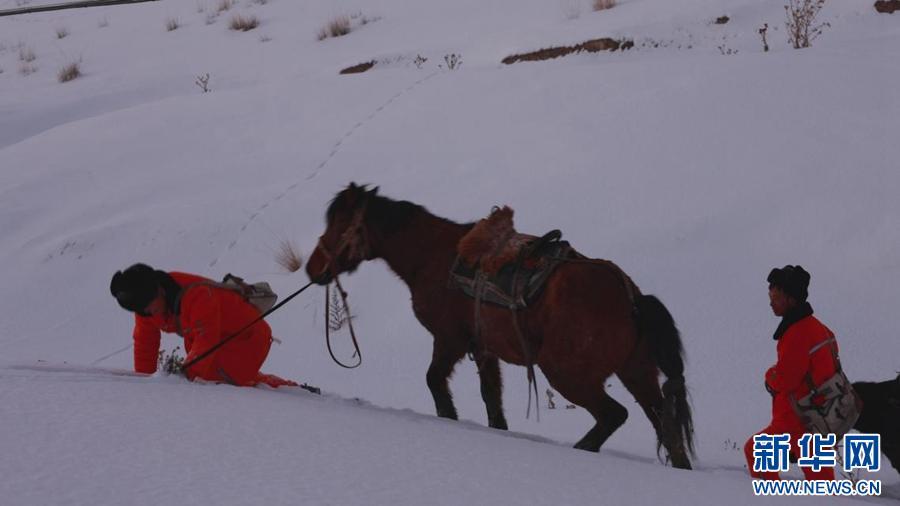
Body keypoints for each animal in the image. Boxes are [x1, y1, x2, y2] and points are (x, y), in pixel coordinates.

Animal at [306, 183, 695, 469]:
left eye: (339, 224)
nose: (312, 268)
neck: (434, 257)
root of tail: (631, 298)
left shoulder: (449, 340)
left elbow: (435, 383)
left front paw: (449, 418)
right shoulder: (483, 348)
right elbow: (492, 400)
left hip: (567, 373)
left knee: (614, 415)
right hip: (638, 374)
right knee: (667, 430)